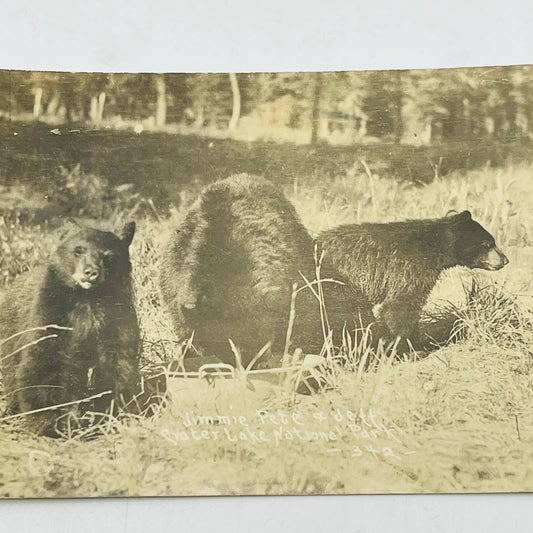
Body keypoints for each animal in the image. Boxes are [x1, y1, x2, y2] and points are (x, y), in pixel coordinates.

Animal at [0, 219, 140, 432]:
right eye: (78, 250)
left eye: (108, 256)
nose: (91, 273)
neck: (88, 298)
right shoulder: (52, 311)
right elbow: (45, 358)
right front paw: (47, 420)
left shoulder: (116, 315)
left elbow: (118, 360)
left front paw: (114, 411)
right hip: (10, 331)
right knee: (10, 369)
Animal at [314, 210, 510, 352]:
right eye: (488, 243)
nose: (505, 260)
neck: (434, 247)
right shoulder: (408, 267)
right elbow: (400, 306)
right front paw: (399, 346)